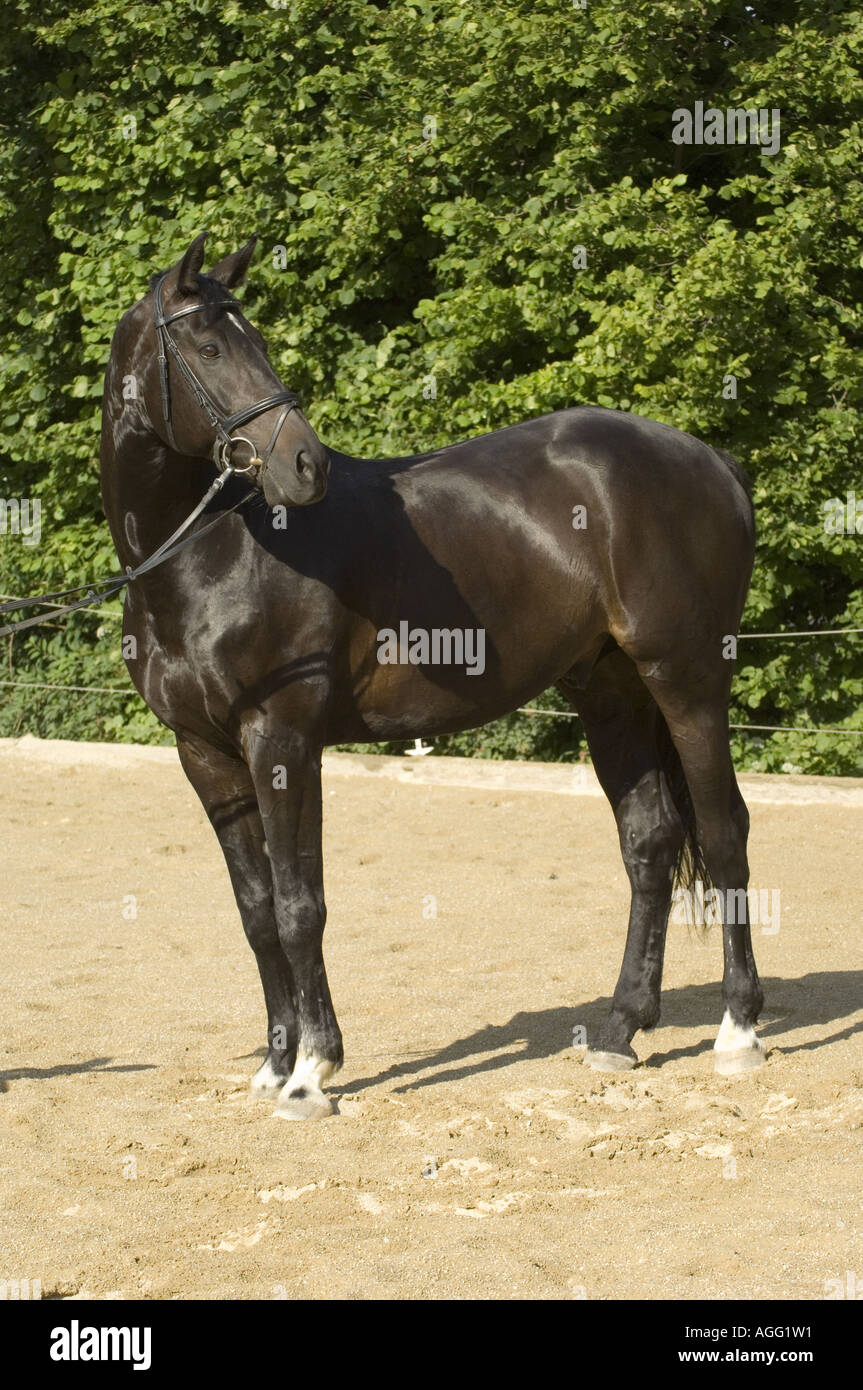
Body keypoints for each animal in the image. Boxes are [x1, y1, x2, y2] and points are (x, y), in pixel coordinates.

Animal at [100, 233, 765, 1120]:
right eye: (207, 346)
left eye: (253, 338)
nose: (303, 464)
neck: (212, 557)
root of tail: (710, 460)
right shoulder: (203, 754)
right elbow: (257, 912)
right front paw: (274, 1063)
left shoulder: (282, 741)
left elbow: (300, 906)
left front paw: (312, 1072)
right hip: (610, 691)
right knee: (650, 842)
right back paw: (620, 1029)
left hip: (686, 681)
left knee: (725, 834)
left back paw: (738, 1031)